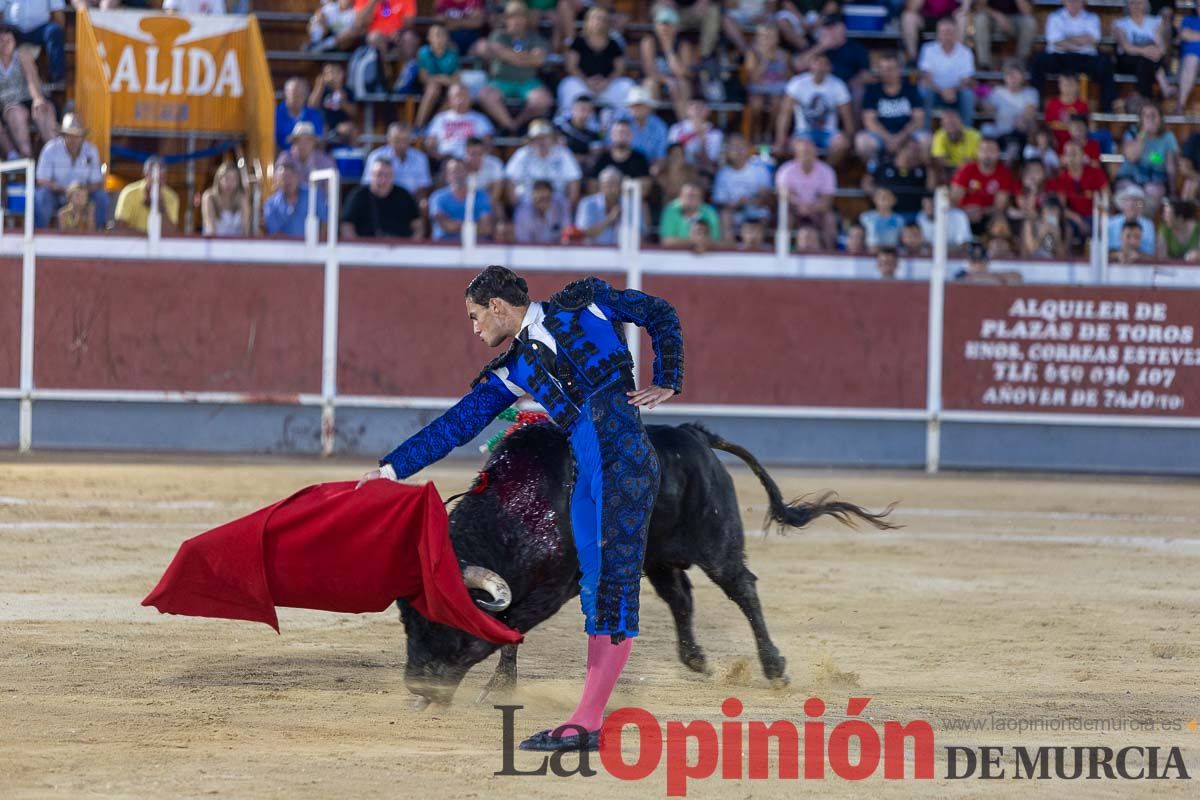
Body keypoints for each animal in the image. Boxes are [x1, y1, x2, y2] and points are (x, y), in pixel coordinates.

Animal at [398, 422, 897, 705]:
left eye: (446, 622)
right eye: (408, 623)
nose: (418, 690)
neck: (522, 510)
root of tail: (693, 433)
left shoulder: (556, 587)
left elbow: (511, 628)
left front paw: (496, 688)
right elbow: (510, 631)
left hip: (718, 542)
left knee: (744, 589)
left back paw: (773, 668)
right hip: (657, 557)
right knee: (681, 598)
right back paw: (696, 659)